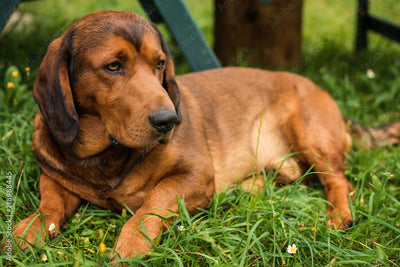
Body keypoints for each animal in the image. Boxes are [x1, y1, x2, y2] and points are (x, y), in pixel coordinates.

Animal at [9, 10, 400, 260]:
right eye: (113, 66)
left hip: (309, 133)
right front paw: (26, 232)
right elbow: (49, 206)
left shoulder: (194, 174)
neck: (107, 156)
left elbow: (151, 205)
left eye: (160, 64)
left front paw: (131, 245)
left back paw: (338, 216)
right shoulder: (53, 176)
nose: (169, 120)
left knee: (338, 181)